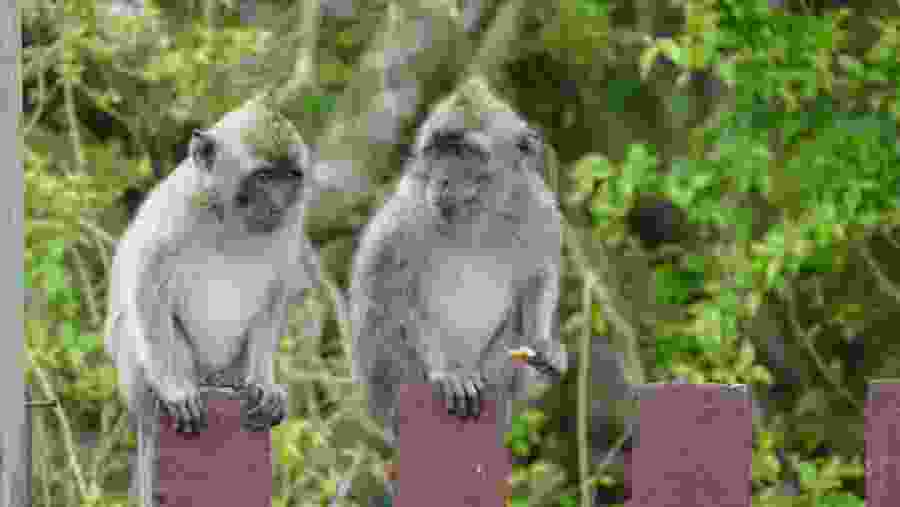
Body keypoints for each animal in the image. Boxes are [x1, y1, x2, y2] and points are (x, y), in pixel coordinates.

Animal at [103, 100, 319, 506]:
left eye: (289, 176)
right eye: (264, 177)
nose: (280, 201)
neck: (230, 220)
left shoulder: (293, 220)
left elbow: (275, 292)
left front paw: (265, 384)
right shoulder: (176, 210)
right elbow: (146, 281)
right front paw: (174, 387)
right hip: (139, 380)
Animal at [349, 107, 568, 495]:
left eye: (464, 152)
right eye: (438, 152)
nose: (442, 181)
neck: (476, 218)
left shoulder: (539, 209)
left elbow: (539, 276)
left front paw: (543, 344)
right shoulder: (404, 219)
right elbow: (391, 292)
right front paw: (448, 373)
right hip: (386, 384)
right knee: (380, 320)